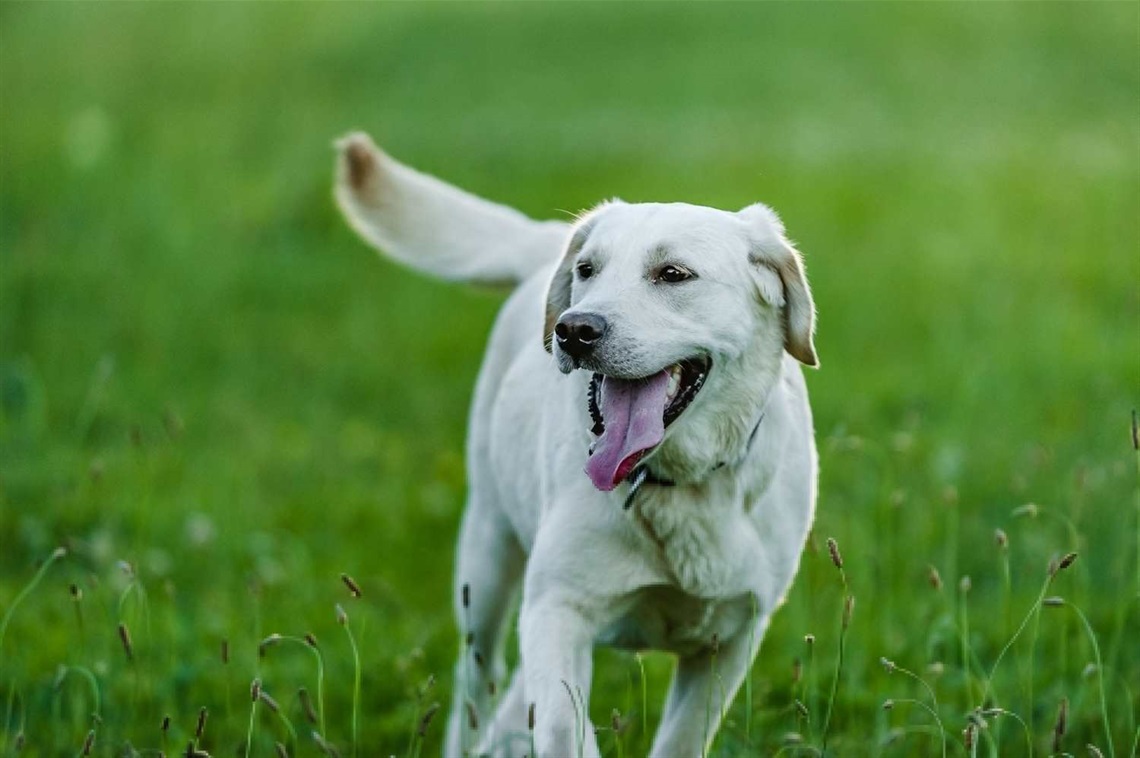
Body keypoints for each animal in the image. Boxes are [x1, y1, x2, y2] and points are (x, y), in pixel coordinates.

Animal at [332, 134, 816, 756]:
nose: (574, 329)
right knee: (477, 687)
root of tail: (547, 239)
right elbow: (565, 726)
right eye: (588, 270)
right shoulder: (558, 609)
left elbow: (681, 738)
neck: (673, 483)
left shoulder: (731, 637)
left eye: (674, 273)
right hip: (486, 559)